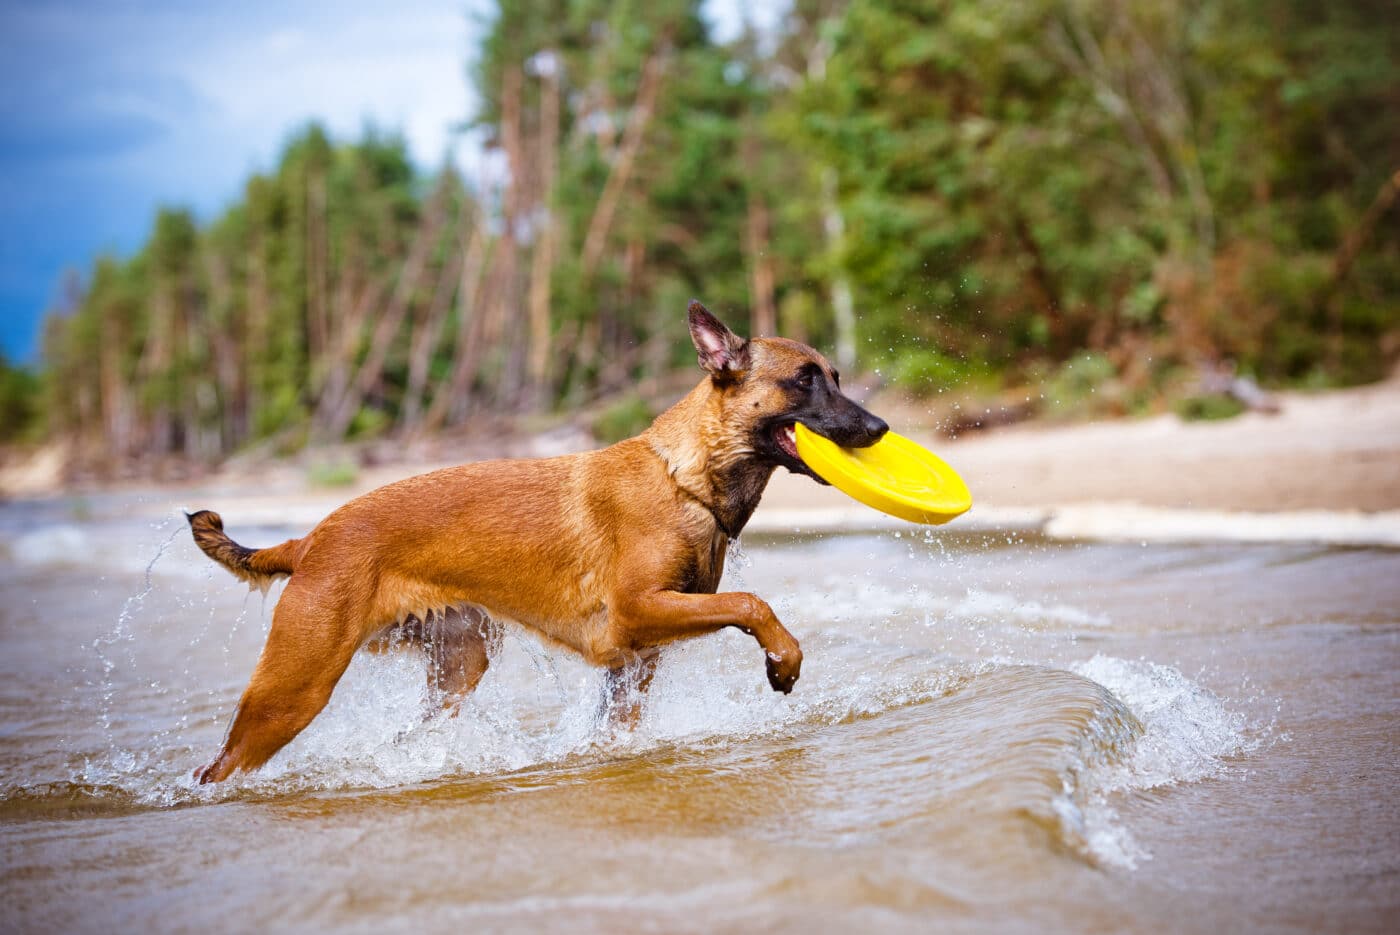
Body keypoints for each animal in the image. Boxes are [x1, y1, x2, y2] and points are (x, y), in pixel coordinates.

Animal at [186, 300, 884, 783]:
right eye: (805, 380)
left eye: (836, 375)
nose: (879, 428)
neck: (684, 478)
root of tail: (307, 540)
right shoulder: (637, 613)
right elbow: (752, 603)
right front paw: (783, 659)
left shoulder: (636, 660)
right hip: (293, 689)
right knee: (218, 767)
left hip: (460, 663)